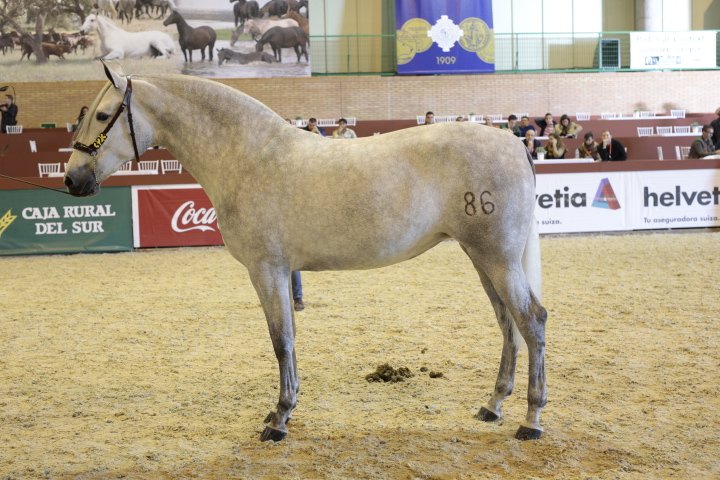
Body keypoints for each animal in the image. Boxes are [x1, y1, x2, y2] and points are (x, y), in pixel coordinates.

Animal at [64, 63, 548, 443]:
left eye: (103, 114)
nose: (72, 179)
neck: (249, 156)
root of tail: (513, 143)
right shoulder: (281, 272)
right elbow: (290, 339)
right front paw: (284, 408)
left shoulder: (267, 270)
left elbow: (281, 341)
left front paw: (278, 420)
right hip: (482, 258)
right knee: (508, 324)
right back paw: (492, 405)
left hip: (497, 258)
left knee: (532, 321)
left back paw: (531, 420)